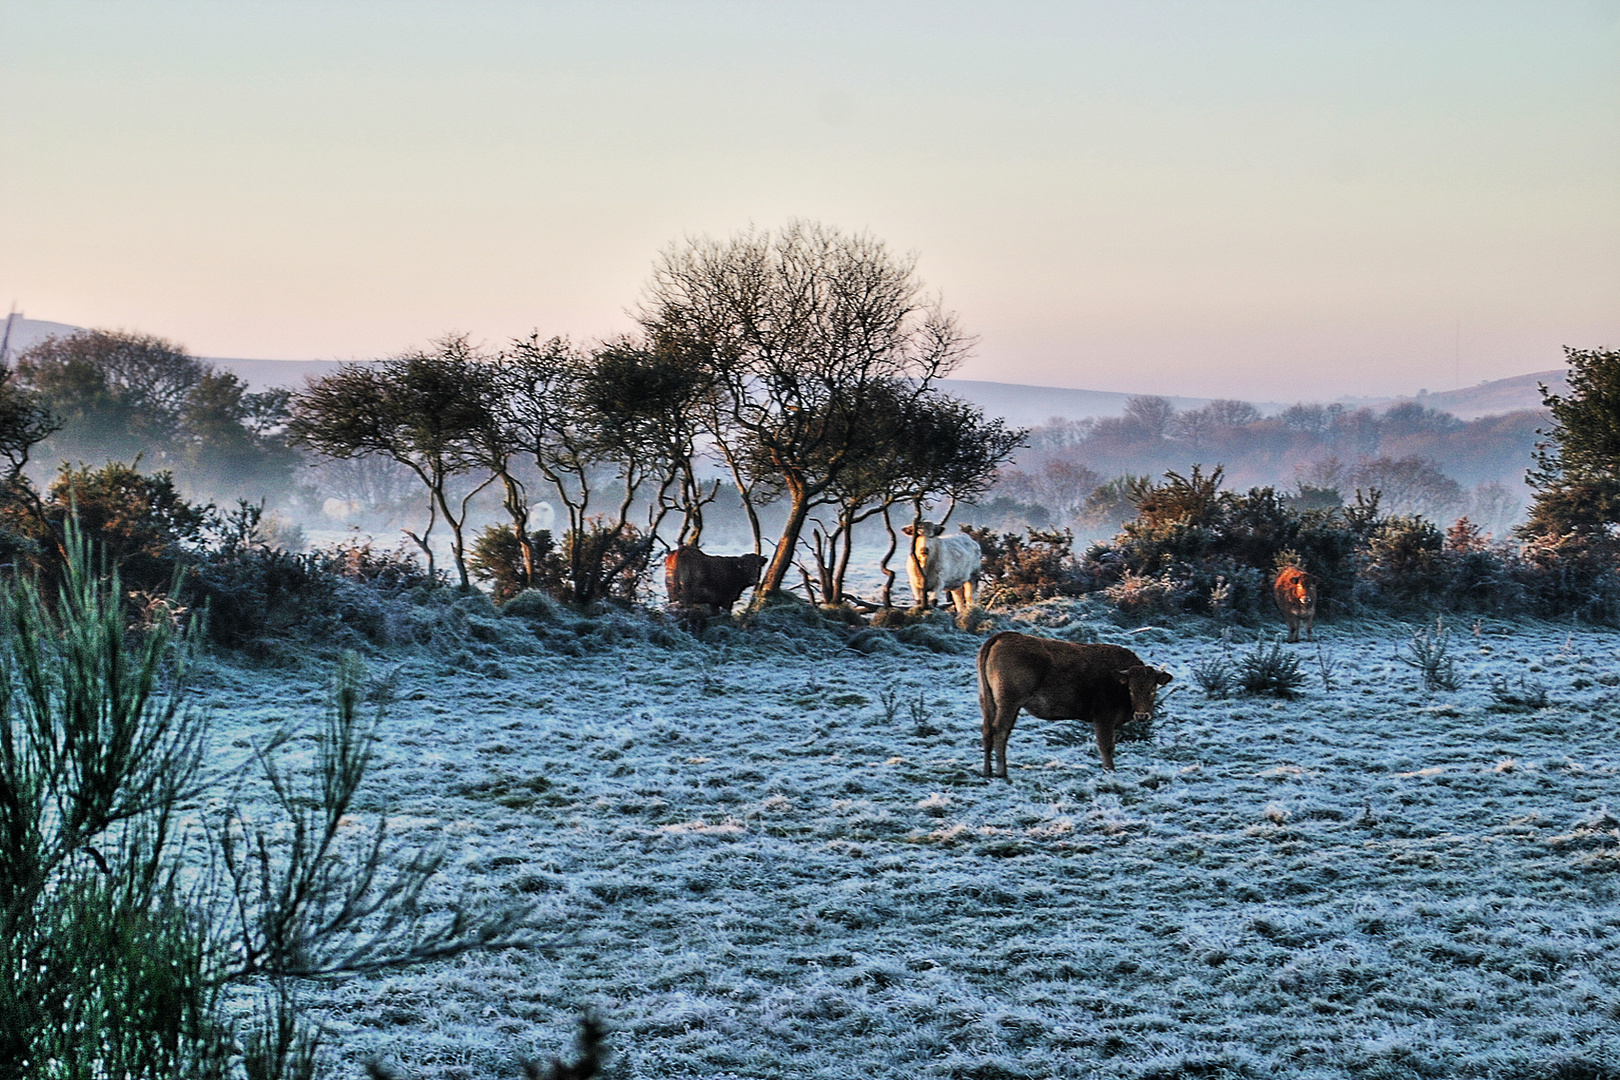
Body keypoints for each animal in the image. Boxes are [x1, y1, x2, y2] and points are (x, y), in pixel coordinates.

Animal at [972, 634, 1166, 777]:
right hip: (1009, 704)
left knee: (987, 730)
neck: (1119, 679)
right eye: (1131, 690)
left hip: (987, 701)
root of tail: (1003, 637)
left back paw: (986, 772)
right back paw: (1001, 772)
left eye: (1152, 689)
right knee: (1000, 730)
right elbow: (1106, 745)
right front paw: (1109, 770)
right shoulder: (1103, 719)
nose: (1142, 716)